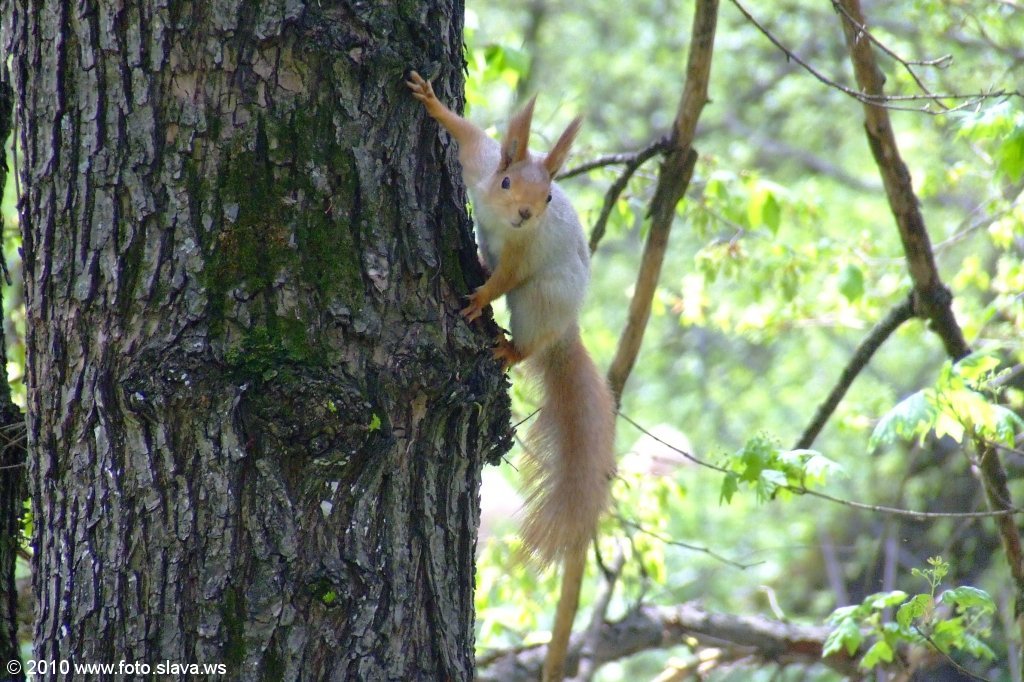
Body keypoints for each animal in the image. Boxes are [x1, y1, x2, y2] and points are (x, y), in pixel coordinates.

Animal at [407, 71, 617, 681]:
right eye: (505, 181)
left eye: (547, 197)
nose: (526, 214)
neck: (504, 224)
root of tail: (566, 328)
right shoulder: (477, 165)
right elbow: (467, 133)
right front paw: (431, 100)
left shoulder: (522, 255)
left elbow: (504, 279)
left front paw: (478, 300)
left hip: (539, 301)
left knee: (527, 342)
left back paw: (506, 349)